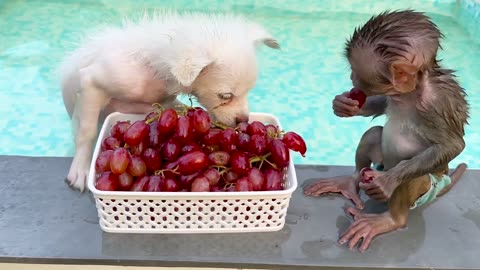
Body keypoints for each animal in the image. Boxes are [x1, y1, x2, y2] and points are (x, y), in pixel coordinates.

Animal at [59, 11, 282, 192]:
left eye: (249, 91)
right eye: (225, 96)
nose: (244, 121)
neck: (154, 70)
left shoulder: (168, 101)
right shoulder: (91, 82)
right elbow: (87, 132)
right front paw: (80, 168)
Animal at [304, 9, 468, 252]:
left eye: (355, 71)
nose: (351, 78)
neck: (410, 92)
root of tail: (444, 181)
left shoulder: (438, 103)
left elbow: (452, 145)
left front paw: (386, 183)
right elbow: (382, 105)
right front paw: (344, 105)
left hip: (426, 187)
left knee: (409, 177)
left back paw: (390, 219)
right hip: (379, 163)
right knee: (373, 134)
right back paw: (350, 181)